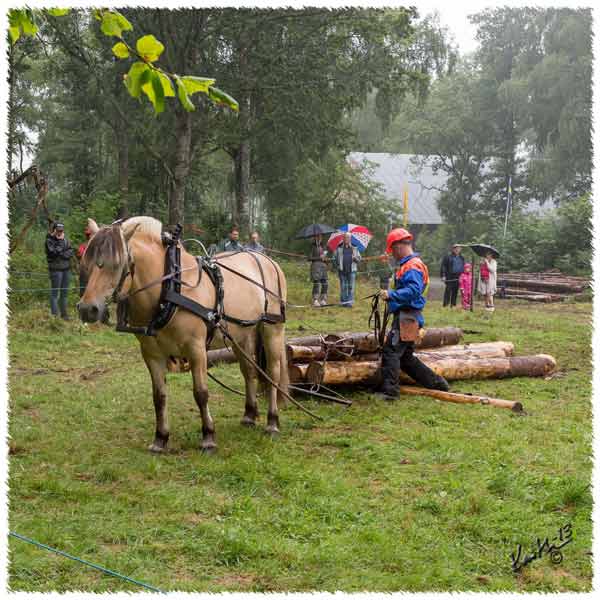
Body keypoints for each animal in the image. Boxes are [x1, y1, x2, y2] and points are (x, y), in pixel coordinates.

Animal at [78, 218, 290, 452]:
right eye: (86, 262)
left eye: (117, 264)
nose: (87, 309)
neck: (169, 289)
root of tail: (267, 259)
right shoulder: (151, 354)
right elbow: (159, 396)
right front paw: (160, 438)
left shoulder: (196, 349)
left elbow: (201, 393)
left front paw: (208, 437)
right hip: (241, 336)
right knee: (249, 371)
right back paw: (249, 415)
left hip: (272, 329)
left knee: (272, 372)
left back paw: (272, 422)